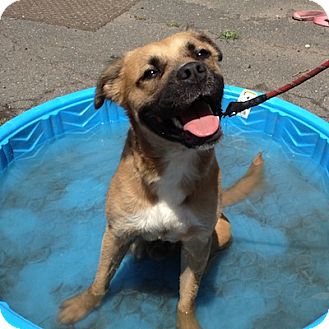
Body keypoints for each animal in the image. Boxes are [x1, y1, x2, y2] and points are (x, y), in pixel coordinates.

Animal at [57, 29, 262, 326]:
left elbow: (187, 297)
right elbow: (100, 279)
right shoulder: (116, 233)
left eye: (201, 53)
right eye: (151, 72)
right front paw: (84, 304)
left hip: (222, 231)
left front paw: (187, 322)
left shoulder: (197, 242)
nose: (193, 70)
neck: (174, 160)